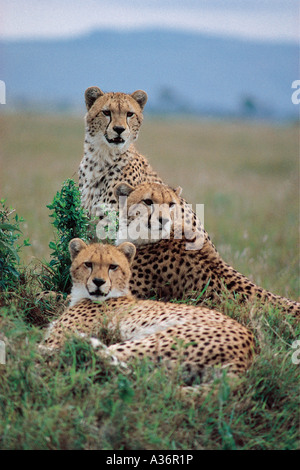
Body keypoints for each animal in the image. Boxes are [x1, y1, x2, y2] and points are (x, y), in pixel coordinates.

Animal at [44, 239, 255, 378]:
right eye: (88, 264)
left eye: (113, 266)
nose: (98, 282)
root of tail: (249, 351)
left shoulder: (54, 339)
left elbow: (42, 346)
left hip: (160, 339)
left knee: (108, 358)